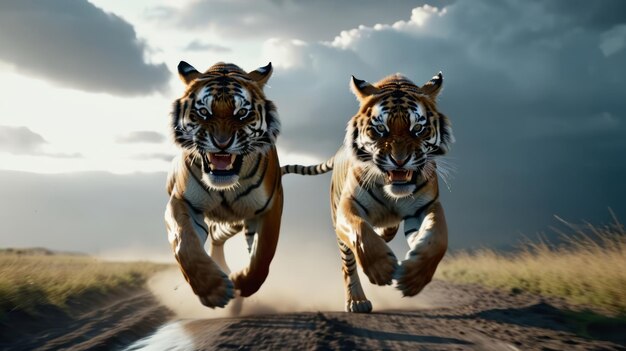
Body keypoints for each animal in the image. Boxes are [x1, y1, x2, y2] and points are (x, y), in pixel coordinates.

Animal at [166, 62, 282, 310]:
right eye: (203, 112)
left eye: (242, 113)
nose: (221, 143)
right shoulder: (183, 201)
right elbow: (184, 242)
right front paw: (214, 290)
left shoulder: (270, 206)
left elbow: (264, 251)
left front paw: (242, 283)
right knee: (214, 237)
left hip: (239, 222)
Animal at [282, 71, 454, 314]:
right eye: (380, 129)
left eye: (418, 129)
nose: (400, 161)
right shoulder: (348, 206)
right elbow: (360, 231)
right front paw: (382, 268)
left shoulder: (427, 206)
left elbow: (438, 239)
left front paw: (413, 278)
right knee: (348, 266)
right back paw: (357, 301)